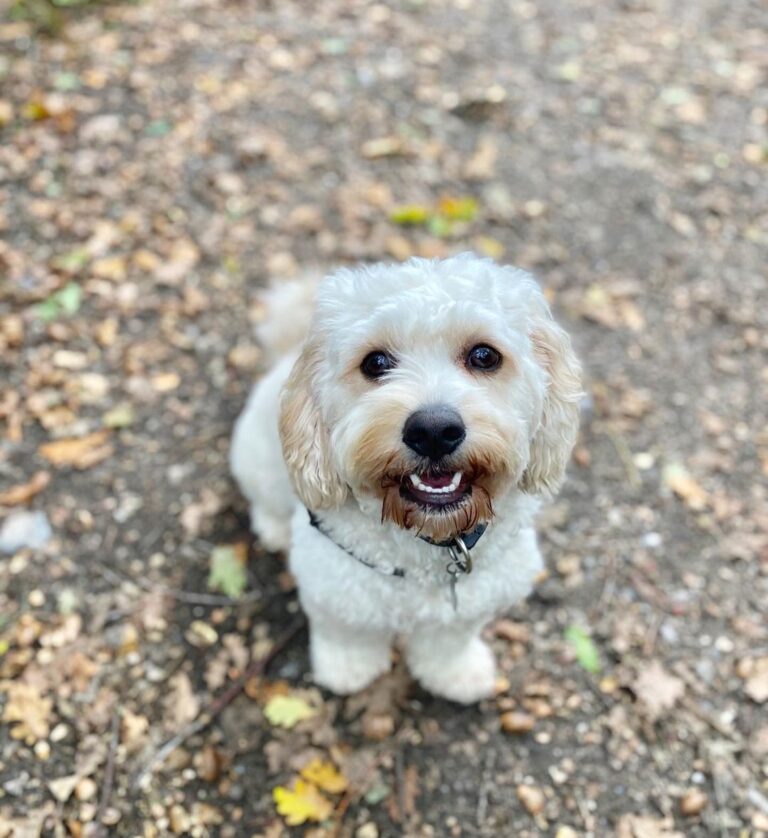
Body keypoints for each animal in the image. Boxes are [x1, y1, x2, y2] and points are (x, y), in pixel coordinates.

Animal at [230, 253, 582, 703]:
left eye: (485, 356)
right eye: (375, 362)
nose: (433, 431)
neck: (431, 545)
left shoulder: (472, 600)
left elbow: (449, 641)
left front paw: (455, 674)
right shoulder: (336, 592)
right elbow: (348, 636)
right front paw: (349, 671)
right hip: (258, 457)